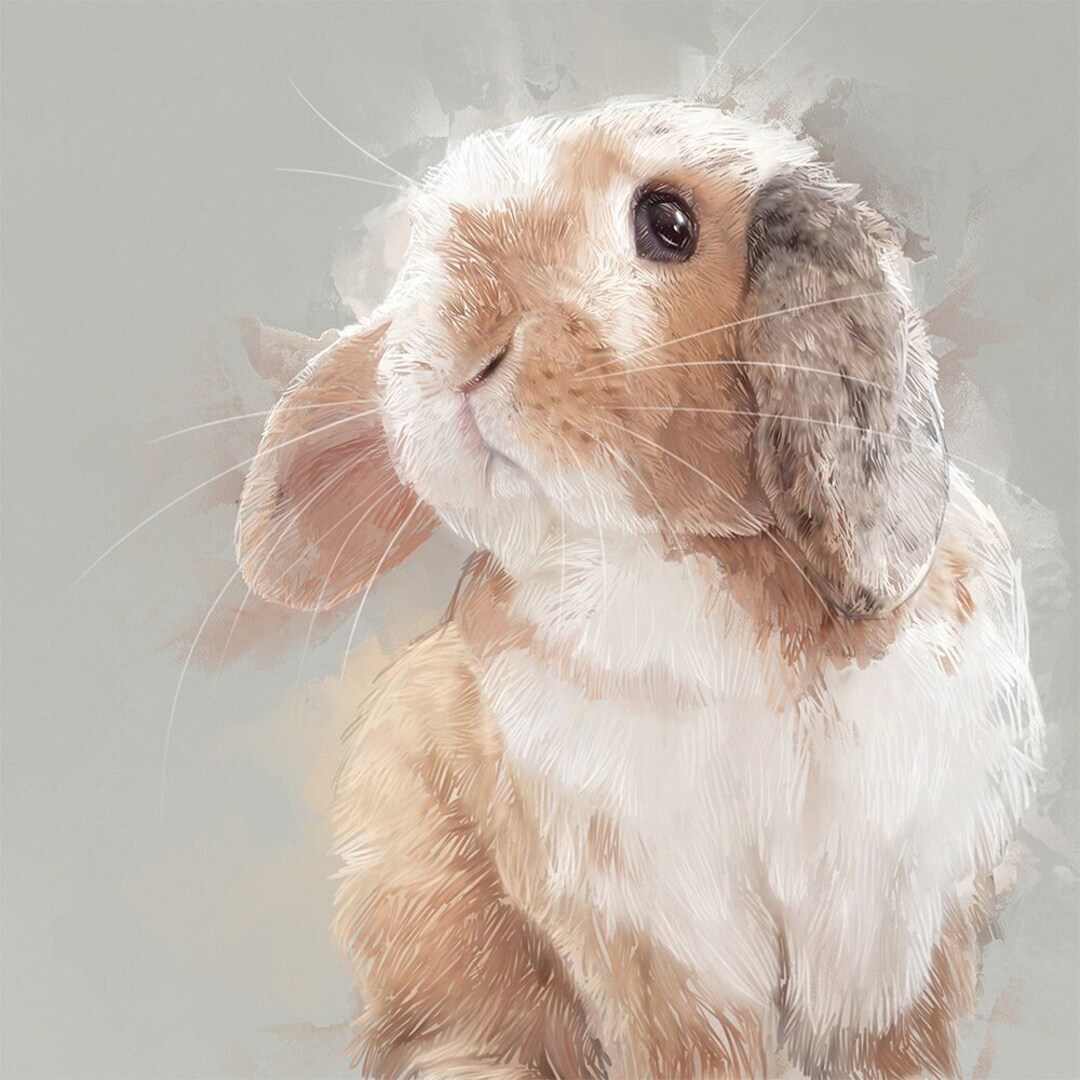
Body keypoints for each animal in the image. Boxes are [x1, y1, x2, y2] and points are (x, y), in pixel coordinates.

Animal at [236, 99, 1044, 1079]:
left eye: (668, 223)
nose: (462, 341)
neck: (688, 563)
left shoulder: (898, 922)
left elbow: (896, 1046)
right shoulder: (656, 936)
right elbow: (699, 1049)